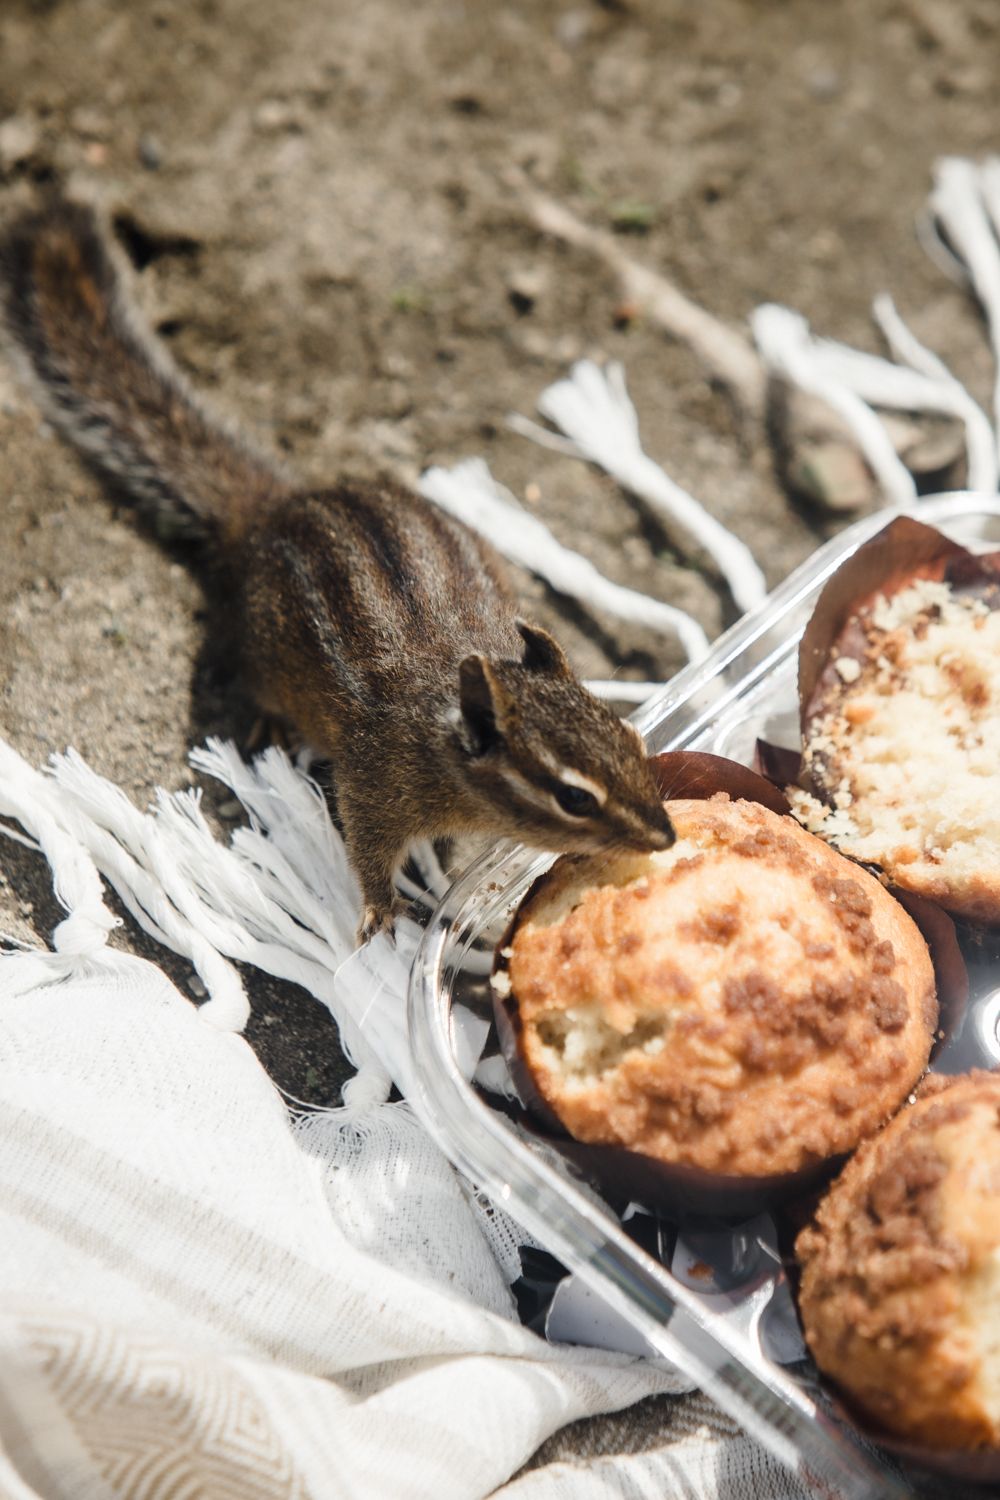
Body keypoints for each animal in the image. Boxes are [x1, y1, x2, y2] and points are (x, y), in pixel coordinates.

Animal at [0, 199, 675, 941]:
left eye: (632, 737)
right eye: (574, 797)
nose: (666, 836)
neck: (441, 739)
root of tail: (275, 508)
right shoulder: (374, 789)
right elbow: (368, 852)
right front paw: (383, 909)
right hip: (262, 656)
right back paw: (270, 729)